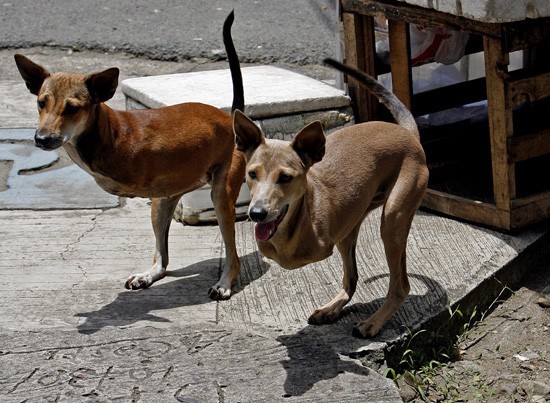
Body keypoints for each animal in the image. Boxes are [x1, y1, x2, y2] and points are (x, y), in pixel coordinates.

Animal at [14, 11, 247, 300]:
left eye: (73, 108)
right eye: (41, 103)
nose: (42, 138)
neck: (104, 132)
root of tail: (229, 119)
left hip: (221, 196)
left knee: (232, 254)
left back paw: (224, 282)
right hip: (162, 205)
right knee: (162, 259)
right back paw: (148, 275)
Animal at [234, 58, 432, 338]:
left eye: (285, 177)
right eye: (252, 173)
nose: (257, 214)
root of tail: (407, 134)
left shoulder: (321, 245)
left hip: (393, 218)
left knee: (400, 285)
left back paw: (373, 322)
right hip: (352, 229)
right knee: (351, 279)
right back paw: (331, 308)